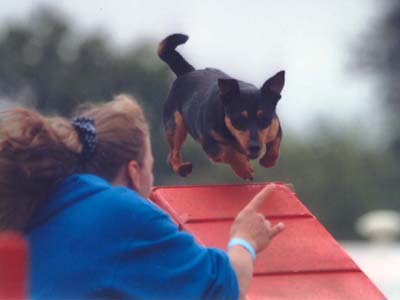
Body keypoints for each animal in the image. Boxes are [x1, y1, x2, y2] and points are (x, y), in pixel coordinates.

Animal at [156, 34, 284, 179]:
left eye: (264, 118)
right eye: (239, 120)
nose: (255, 147)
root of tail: (187, 72)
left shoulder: (275, 127)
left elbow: (274, 149)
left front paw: (267, 161)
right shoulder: (210, 145)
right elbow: (229, 152)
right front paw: (244, 169)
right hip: (175, 125)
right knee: (172, 155)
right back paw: (182, 168)